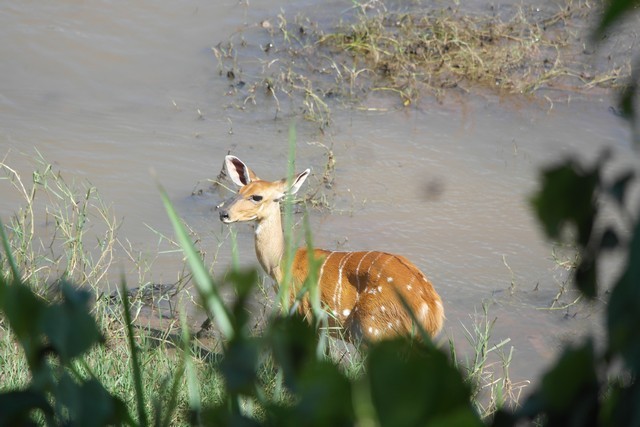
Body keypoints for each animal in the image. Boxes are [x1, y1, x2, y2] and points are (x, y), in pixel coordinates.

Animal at [218, 155, 442, 342]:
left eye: (256, 197)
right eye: (238, 191)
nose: (223, 213)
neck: (280, 262)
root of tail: (433, 312)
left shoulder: (301, 312)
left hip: (373, 330)